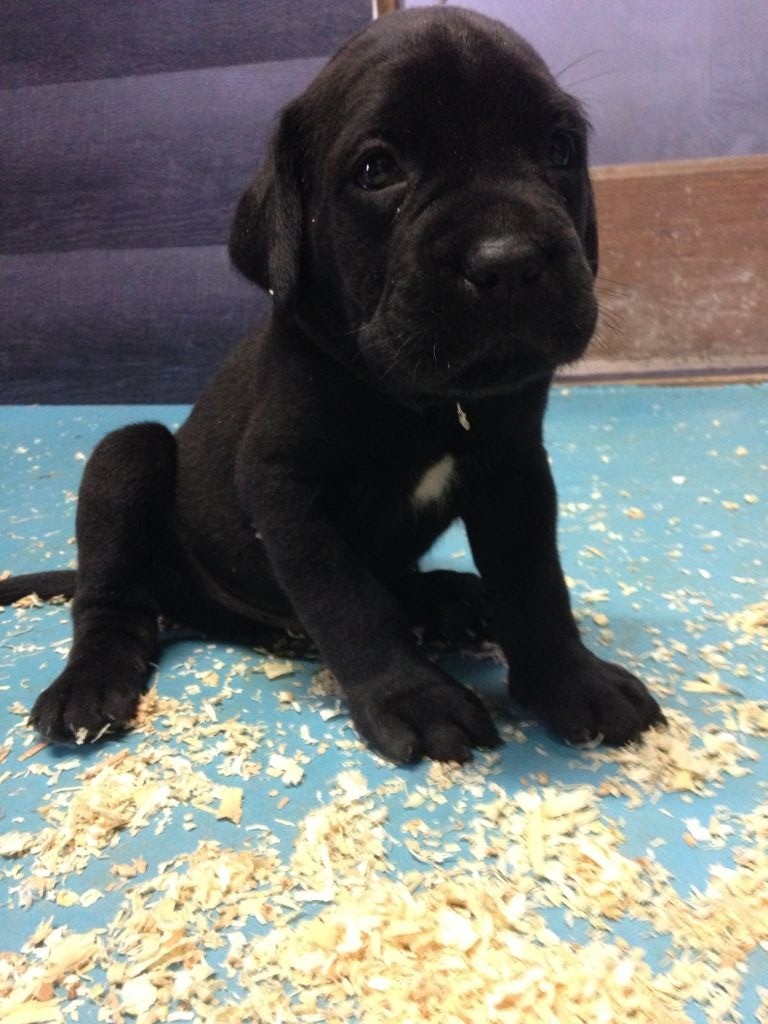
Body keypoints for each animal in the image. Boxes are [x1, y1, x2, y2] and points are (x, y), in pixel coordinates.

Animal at [0, 6, 664, 763]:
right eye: (377, 170)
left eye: (558, 149)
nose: (509, 260)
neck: (425, 400)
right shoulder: (286, 488)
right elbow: (349, 600)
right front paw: (412, 696)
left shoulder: (516, 470)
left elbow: (535, 583)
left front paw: (573, 681)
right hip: (126, 459)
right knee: (112, 599)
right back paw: (88, 686)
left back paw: (447, 598)